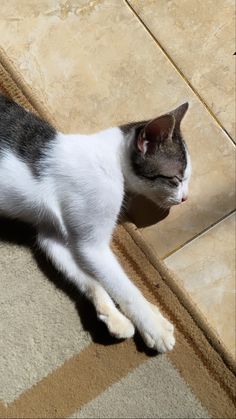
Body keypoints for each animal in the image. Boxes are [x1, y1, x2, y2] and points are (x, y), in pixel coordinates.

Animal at [0, 94, 191, 352]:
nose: (185, 198)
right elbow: (123, 286)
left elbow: (88, 278)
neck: (111, 160)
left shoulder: (52, 235)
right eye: (176, 179)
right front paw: (153, 325)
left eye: (185, 179)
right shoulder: (92, 246)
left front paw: (115, 317)